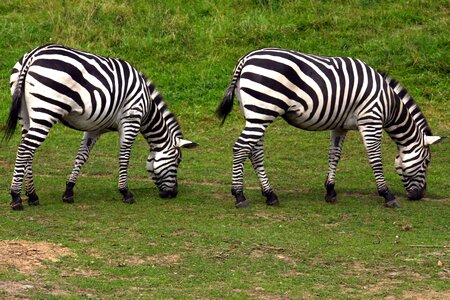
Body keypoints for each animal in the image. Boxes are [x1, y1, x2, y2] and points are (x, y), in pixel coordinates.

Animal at [3, 44, 197, 211]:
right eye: (178, 161)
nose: (173, 194)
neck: (147, 105)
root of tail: (33, 54)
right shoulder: (131, 119)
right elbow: (125, 155)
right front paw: (125, 192)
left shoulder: (94, 128)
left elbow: (82, 156)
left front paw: (69, 191)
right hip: (47, 110)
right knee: (25, 149)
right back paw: (16, 198)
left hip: (25, 115)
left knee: (28, 150)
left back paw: (32, 196)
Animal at [218, 48, 442, 207]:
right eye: (427, 162)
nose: (420, 196)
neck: (389, 104)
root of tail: (245, 59)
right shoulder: (371, 120)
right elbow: (375, 159)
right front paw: (387, 194)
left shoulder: (340, 126)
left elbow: (334, 155)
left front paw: (331, 191)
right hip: (262, 111)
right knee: (241, 148)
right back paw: (239, 196)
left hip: (256, 114)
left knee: (254, 152)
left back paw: (270, 195)